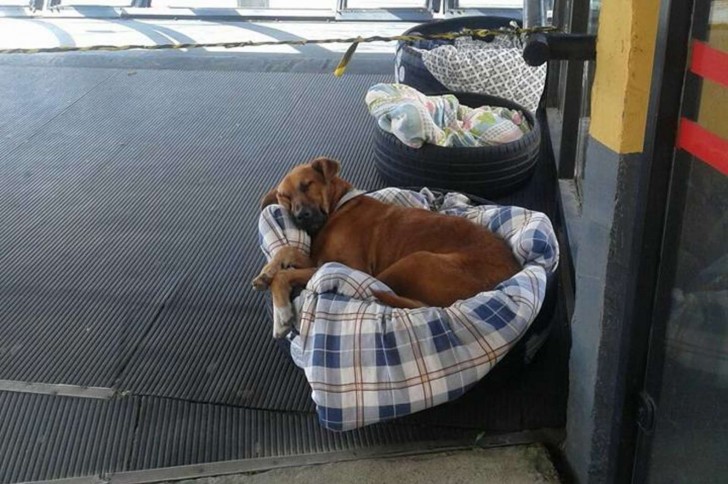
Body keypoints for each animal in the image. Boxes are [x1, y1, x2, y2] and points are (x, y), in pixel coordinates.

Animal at [253, 157, 520, 338]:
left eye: (307, 185)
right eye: (284, 197)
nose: (300, 217)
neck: (338, 207)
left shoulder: (347, 265)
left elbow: (285, 275)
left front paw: (282, 314)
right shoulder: (319, 259)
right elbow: (287, 251)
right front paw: (266, 272)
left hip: (413, 261)